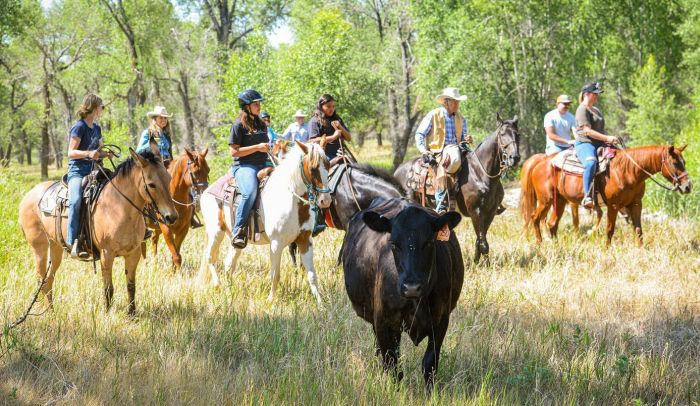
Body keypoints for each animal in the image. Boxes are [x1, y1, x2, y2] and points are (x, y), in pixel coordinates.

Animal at [19, 147, 179, 316]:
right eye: (151, 184)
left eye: (169, 179)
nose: (171, 217)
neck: (118, 208)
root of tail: (29, 195)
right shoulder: (106, 254)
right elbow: (108, 289)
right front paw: (107, 314)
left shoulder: (133, 253)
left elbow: (131, 286)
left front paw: (132, 314)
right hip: (39, 247)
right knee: (40, 277)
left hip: (55, 246)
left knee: (48, 278)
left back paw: (51, 311)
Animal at [198, 141, 332, 302]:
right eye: (313, 168)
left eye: (328, 165)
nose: (325, 200)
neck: (292, 200)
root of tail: (208, 191)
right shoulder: (276, 244)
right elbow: (275, 275)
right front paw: (271, 300)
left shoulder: (305, 240)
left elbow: (312, 275)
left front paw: (320, 303)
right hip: (216, 232)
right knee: (210, 258)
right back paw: (218, 284)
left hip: (235, 240)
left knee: (229, 264)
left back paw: (229, 292)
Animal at [340, 198, 462, 388]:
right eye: (394, 244)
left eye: (429, 242)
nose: (411, 287)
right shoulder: (383, 322)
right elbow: (392, 365)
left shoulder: (441, 321)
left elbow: (429, 364)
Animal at [394, 114, 520, 262]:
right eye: (502, 134)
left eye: (518, 134)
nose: (515, 158)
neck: (480, 174)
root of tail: (398, 170)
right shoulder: (476, 211)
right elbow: (483, 244)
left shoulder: (490, 212)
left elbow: (480, 240)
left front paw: (479, 263)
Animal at [520, 144, 688, 246]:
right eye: (675, 163)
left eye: (684, 162)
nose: (687, 186)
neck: (628, 171)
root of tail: (540, 162)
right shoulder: (613, 206)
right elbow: (610, 229)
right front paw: (606, 249)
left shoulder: (635, 204)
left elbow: (638, 229)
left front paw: (641, 249)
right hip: (545, 201)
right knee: (535, 218)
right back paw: (539, 243)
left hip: (559, 201)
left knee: (552, 223)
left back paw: (556, 246)